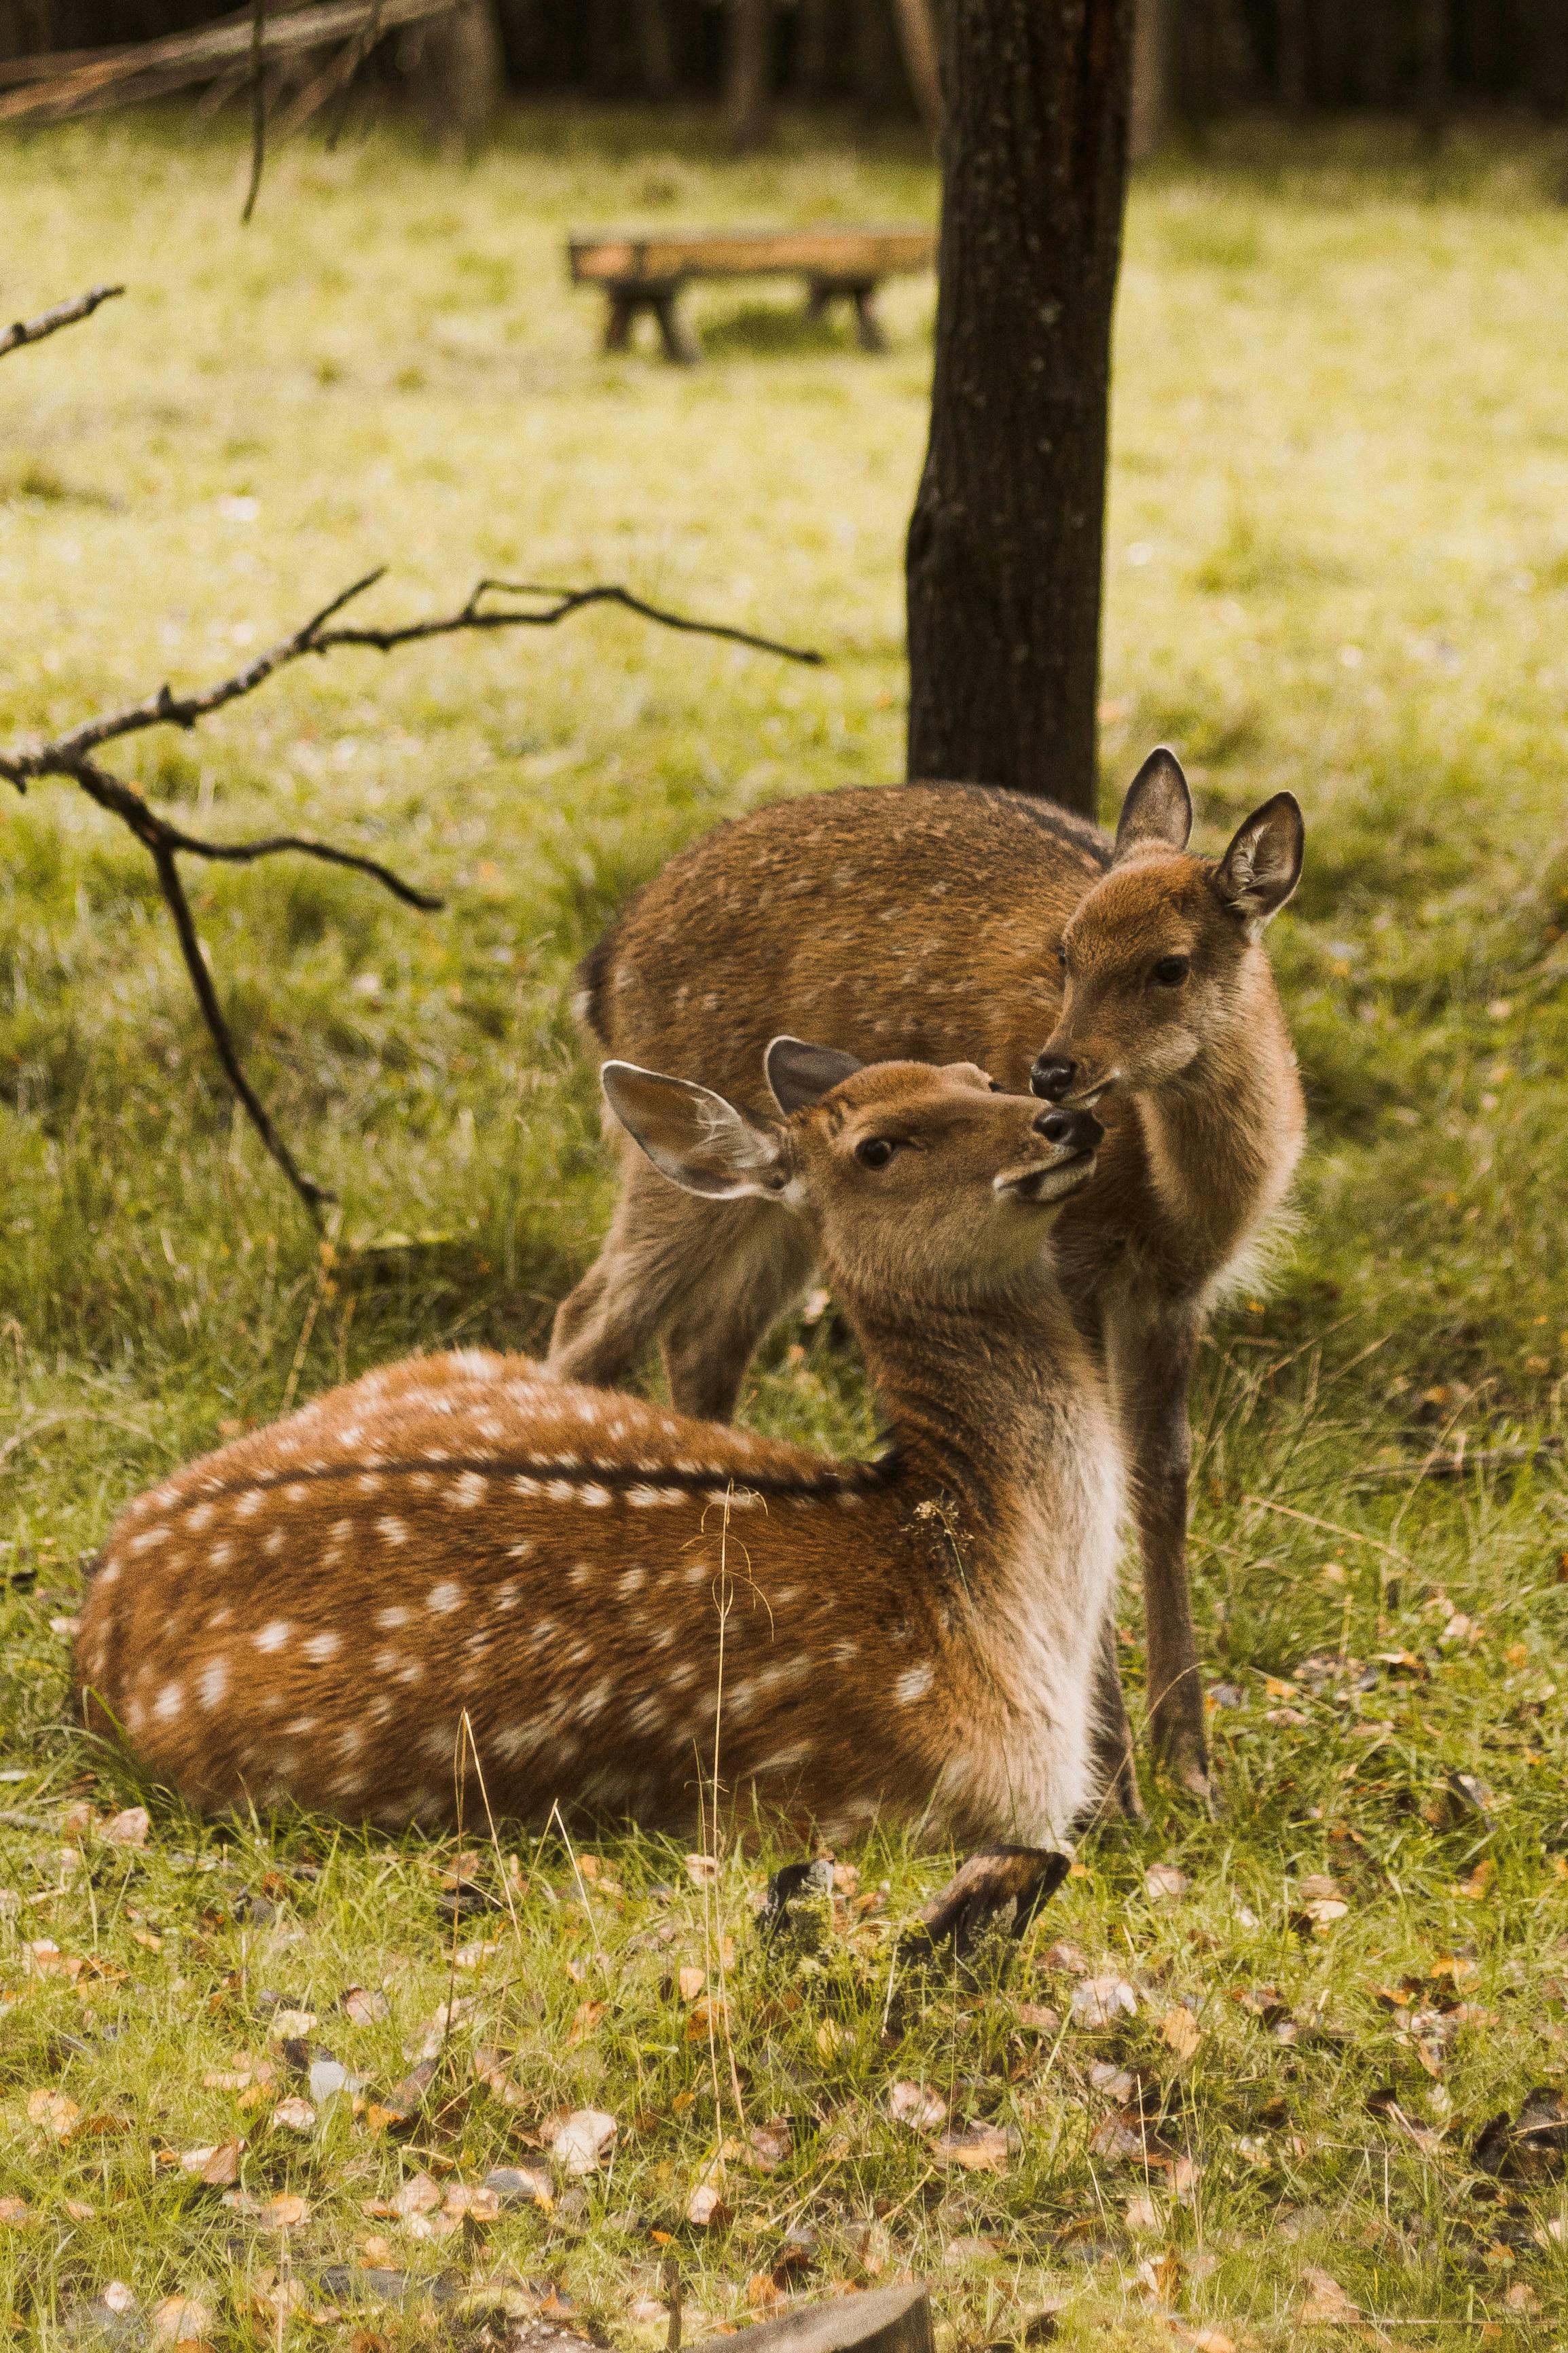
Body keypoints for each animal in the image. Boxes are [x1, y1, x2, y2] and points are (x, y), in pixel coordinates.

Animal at [545, 753, 1307, 1797]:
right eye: (1064, 951)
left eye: (1170, 965)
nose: (1053, 1072)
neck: (1175, 1197)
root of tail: (601, 967)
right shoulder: (1070, 1262)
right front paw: (1112, 1784)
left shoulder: (1175, 1292)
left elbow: (1164, 1481)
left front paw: (1190, 1766)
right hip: (674, 1143)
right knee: (589, 1321)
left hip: (786, 1200)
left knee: (702, 1337)